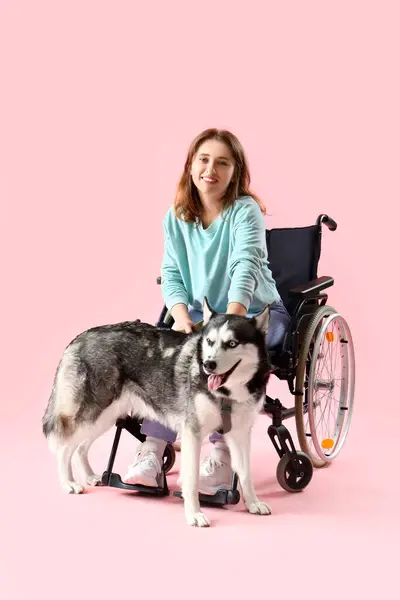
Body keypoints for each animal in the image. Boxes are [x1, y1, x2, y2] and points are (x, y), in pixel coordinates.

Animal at [43, 298, 272, 524]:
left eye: (232, 343)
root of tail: (82, 336)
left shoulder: (240, 434)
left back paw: (90, 476)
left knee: (80, 447)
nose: (208, 364)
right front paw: (194, 514)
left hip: (106, 416)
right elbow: (191, 480)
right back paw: (68, 483)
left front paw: (253, 503)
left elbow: (245, 473)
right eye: (209, 341)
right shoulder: (193, 432)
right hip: (94, 412)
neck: (226, 394)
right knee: (64, 447)